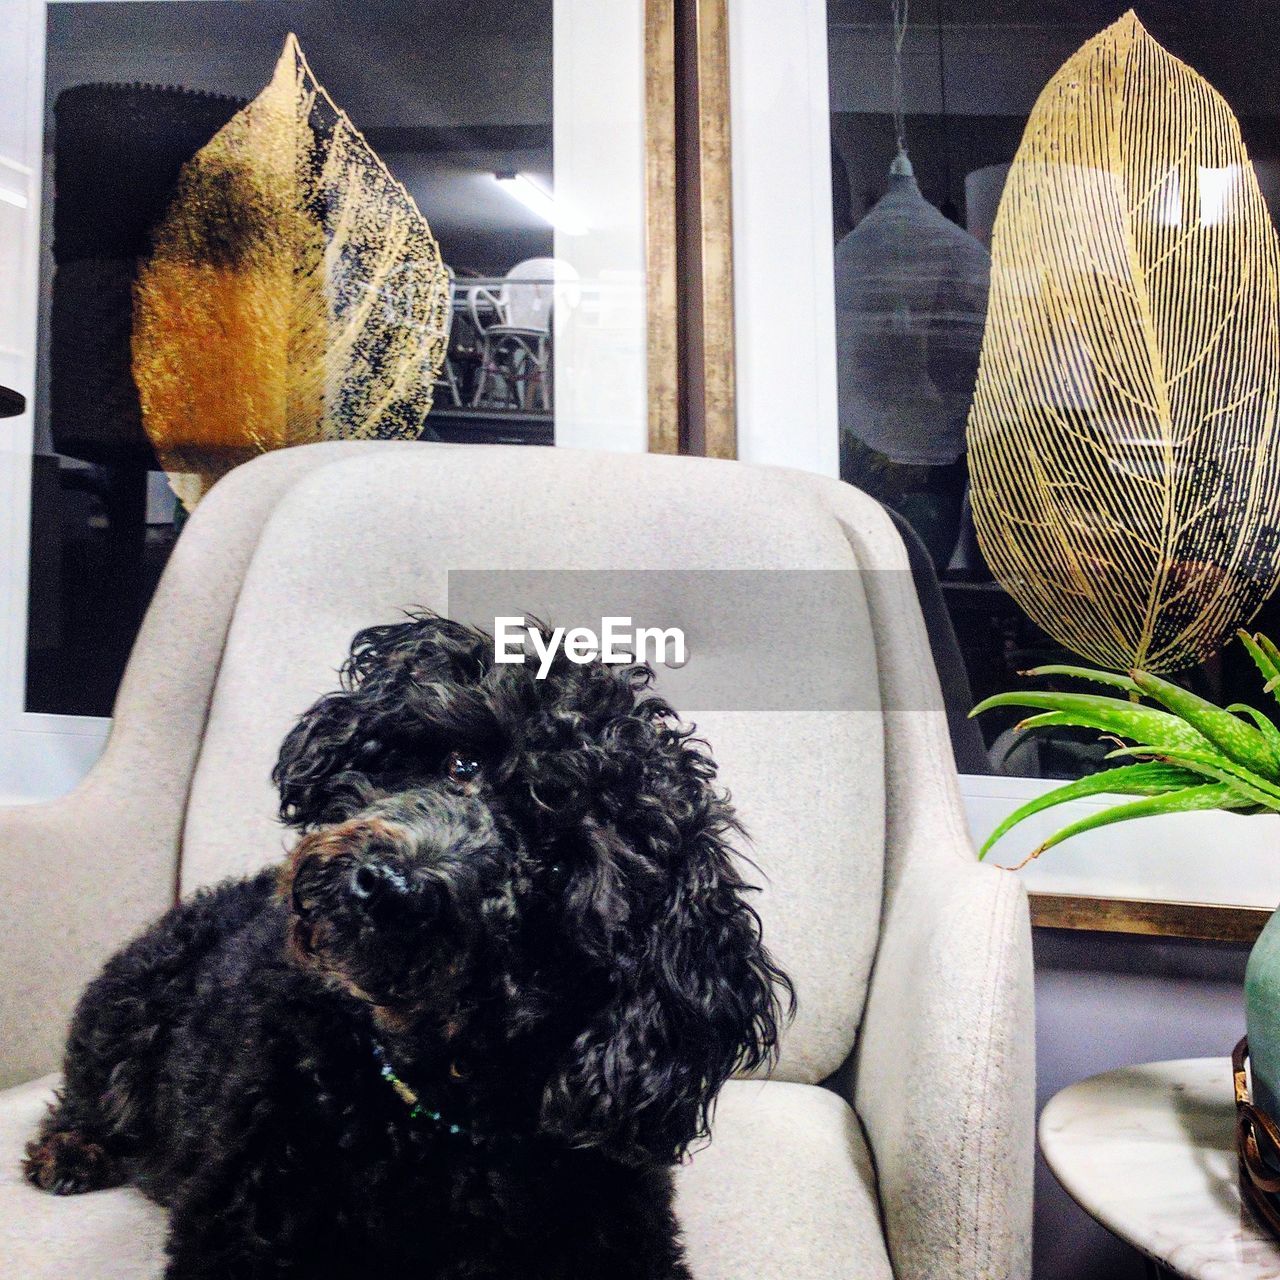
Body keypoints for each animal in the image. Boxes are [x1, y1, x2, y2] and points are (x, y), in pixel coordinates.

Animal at [27, 614, 788, 1274]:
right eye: (461, 763)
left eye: (555, 867)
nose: (390, 886)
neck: (429, 1108)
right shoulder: (238, 1221)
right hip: (131, 1004)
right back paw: (71, 1151)